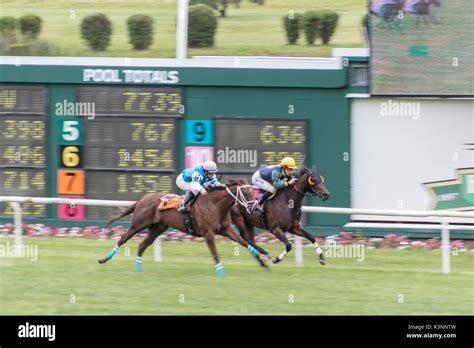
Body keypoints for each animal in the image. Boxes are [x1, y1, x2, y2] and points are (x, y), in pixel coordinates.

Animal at [97, 178, 268, 276]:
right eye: (246, 193)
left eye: (253, 192)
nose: (257, 210)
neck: (214, 205)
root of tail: (142, 198)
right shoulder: (208, 233)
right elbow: (215, 252)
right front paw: (220, 271)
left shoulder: (227, 230)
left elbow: (244, 242)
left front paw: (263, 260)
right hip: (138, 224)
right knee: (123, 238)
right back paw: (104, 258)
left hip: (157, 228)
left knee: (142, 245)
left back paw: (138, 268)